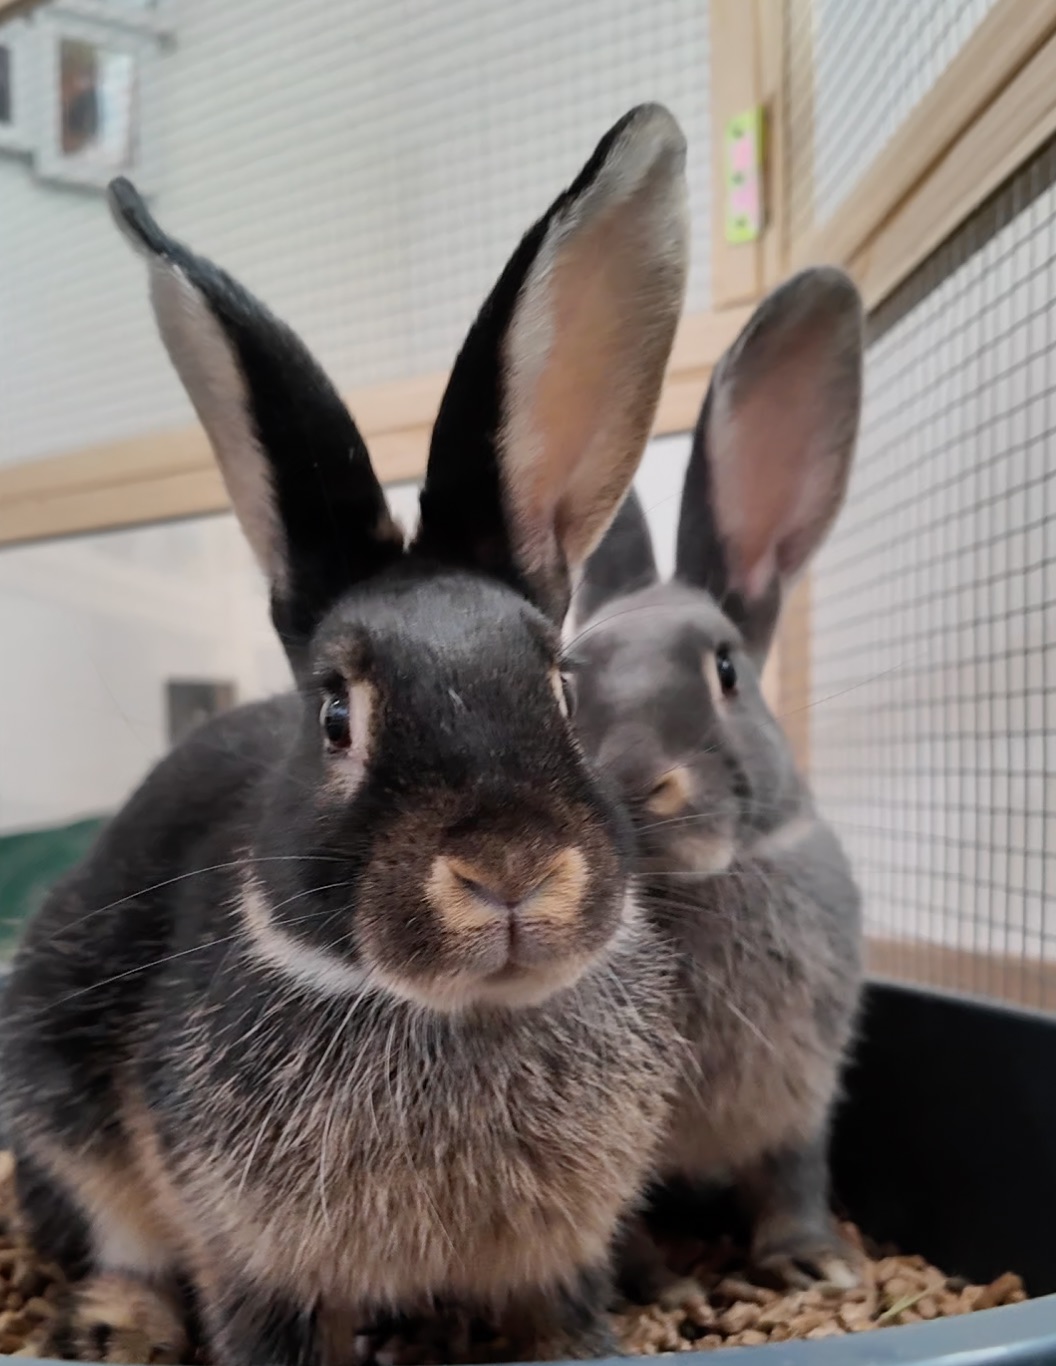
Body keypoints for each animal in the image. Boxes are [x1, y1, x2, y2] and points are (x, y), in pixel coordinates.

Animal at [0, 103, 691, 1366]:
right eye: (335, 714)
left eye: (562, 689)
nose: (510, 867)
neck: (461, 1014)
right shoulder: (249, 1256)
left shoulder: (560, 1255)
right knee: (116, 1235)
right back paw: (120, 1325)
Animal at [566, 268, 866, 1298]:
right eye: (565, 680)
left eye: (726, 669)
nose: (630, 787)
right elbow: (620, 1220)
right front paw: (659, 1285)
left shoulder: (802, 1098)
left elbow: (795, 1176)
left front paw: (809, 1263)